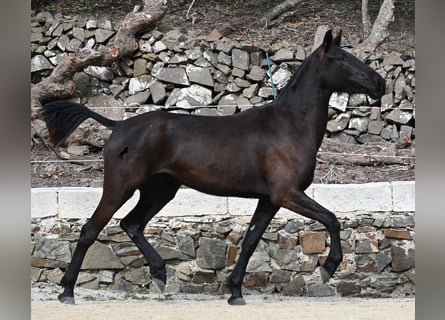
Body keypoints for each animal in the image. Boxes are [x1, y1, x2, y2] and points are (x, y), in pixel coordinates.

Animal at [39, 30, 386, 304]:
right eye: (341, 59)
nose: (380, 84)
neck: (288, 126)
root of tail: (118, 126)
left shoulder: (269, 200)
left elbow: (250, 242)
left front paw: (235, 292)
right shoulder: (287, 194)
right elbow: (332, 219)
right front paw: (327, 269)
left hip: (159, 190)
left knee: (132, 224)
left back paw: (160, 275)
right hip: (120, 186)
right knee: (91, 229)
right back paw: (67, 291)